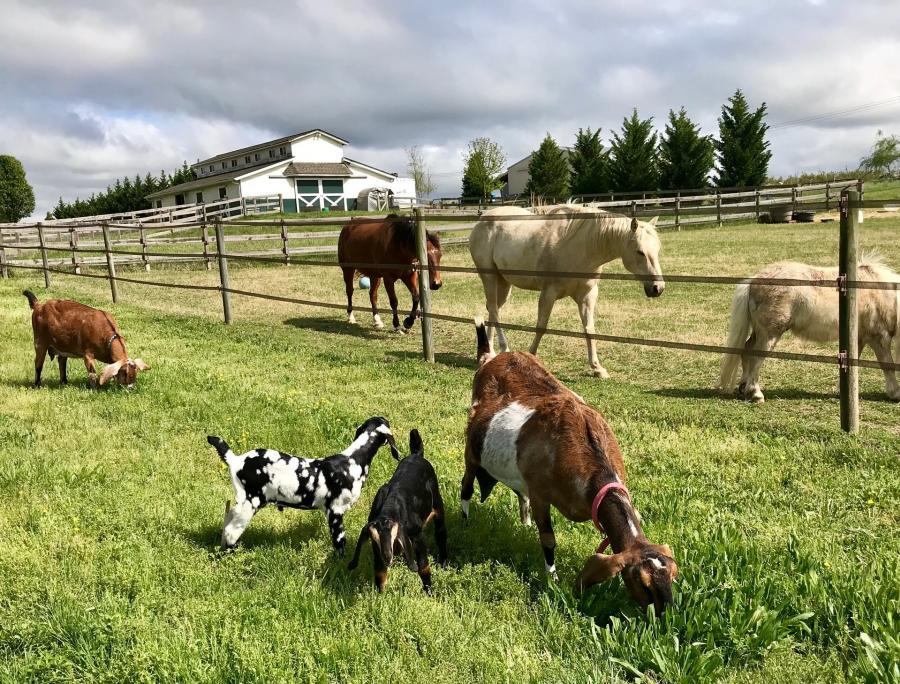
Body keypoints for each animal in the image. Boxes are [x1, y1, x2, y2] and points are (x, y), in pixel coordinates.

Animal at [464, 320, 676, 616]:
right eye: (641, 582)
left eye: (672, 576)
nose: (666, 614)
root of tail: (490, 357)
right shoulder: (541, 494)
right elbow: (549, 540)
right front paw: (552, 579)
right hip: (471, 452)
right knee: (466, 487)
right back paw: (465, 519)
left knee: (519, 493)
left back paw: (524, 523)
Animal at [468, 204, 664, 374]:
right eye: (640, 252)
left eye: (658, 249)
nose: (658, 288)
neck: (580, 248)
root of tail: (482, 220)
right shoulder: (548, 293)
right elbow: (541, 326)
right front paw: (532, 354)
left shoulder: (587, 295)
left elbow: (589, 329)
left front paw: (597, 368)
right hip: (489, 277)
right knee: (494, 310)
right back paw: (503, 347)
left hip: (503, 282)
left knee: (493, 309)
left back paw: (490, 352)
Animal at [716, 260, 900, 404]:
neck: (884, 293)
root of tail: (754, 281)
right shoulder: (879, 337)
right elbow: (887, 365)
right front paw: (895, 393)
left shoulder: (859, 338)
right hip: (769, 334)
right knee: (756, 357)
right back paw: (755, 393)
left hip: (759, 332)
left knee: (746, 350)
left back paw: (744, 387)